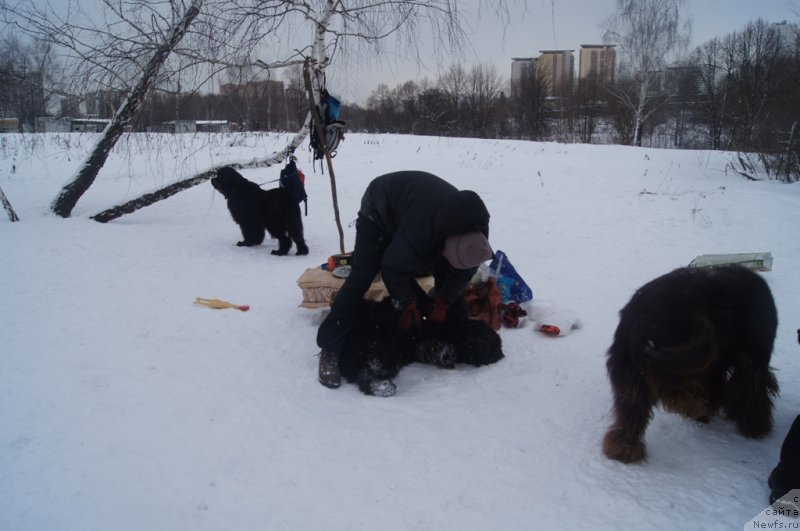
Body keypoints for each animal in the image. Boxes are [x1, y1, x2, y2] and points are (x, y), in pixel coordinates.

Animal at [340, 288, 504, 396]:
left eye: (490, 353)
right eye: (486, 335)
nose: (481, 347)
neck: (452, 333)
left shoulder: (420, 347)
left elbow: (431, 349)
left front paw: (446, 354)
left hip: (376, 348)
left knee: (365, 369)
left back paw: (380, 384)